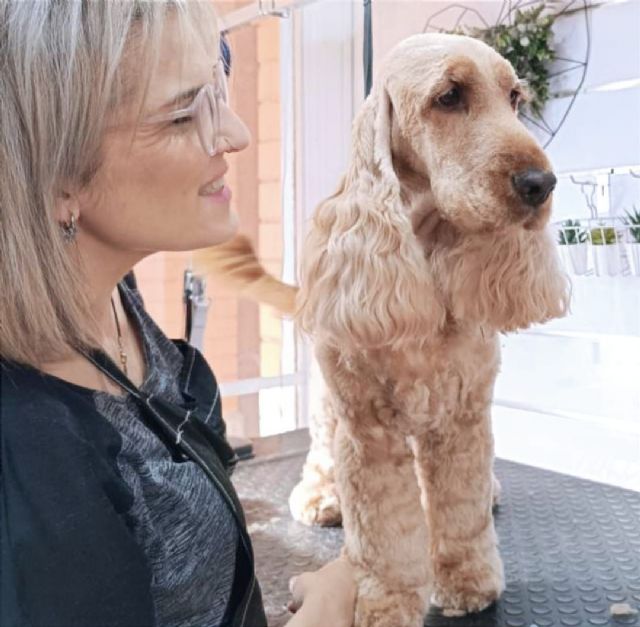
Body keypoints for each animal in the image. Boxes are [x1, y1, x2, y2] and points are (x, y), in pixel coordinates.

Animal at [209, 33, 569, 626]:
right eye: (449, 96)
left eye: (515, 98)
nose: (541, 183)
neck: (420, 250)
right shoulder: (367, 429)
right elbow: (384, 533)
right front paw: (386, 601)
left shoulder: (462, 418)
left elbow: (461, 510)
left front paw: (468, 581)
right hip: (328, 404)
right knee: (320, 451)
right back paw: (320, 496)